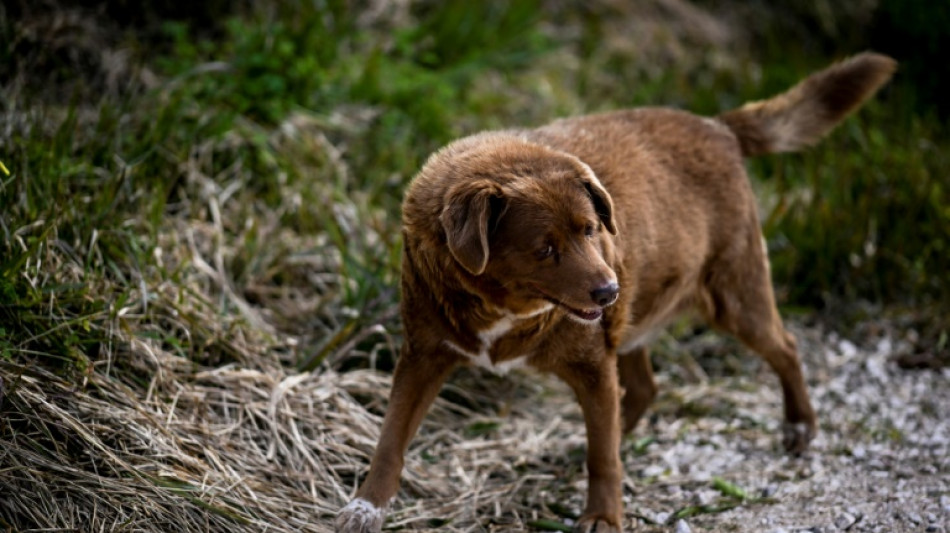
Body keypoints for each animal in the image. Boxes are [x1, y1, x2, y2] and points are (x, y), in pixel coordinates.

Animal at [338, 52, 896, 528]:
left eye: (590, 230)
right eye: (544, 248)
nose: (607, 290)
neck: (504, 309)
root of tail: (718, 127)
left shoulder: (591, 364)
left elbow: (602, 456)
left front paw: (604, 517)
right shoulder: (423, 354)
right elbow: (390, 437)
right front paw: (366, 506)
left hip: (733, 296)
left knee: (785, 347)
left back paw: (799, 426)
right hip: (636, 317)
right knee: (643, 390)